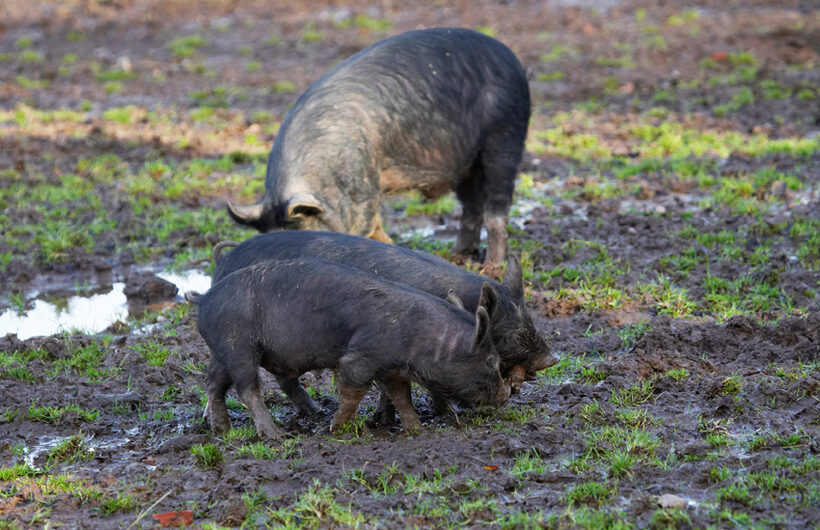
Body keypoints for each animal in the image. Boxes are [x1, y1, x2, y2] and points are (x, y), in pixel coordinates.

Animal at [194, 257, 509, 438]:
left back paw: (222, 430)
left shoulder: (391, 369)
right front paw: (335, 429)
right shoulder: (360, 358)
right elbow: (352, 391)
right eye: (492, 361)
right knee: (247, 389)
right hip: (239, 346)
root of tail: (205, 299)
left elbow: (402, 396)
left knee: (214, 383)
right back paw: (276, 436)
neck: (422, 338)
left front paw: (417, 430)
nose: (506, 394)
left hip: (223, 351)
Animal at [205, 231, 556, 422]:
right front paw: (441, 415)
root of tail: (222, 262)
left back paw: (314, 412)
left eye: (531, 319)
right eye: (511, 336)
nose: (551, 359)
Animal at [227, 27, 531, 268]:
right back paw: (458, 255)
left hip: (506, 134)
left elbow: (369, 224)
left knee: (497, 208)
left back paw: (492, 268)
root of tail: (513, 60)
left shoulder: (363, 184)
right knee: (472, 205)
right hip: (467, 164)